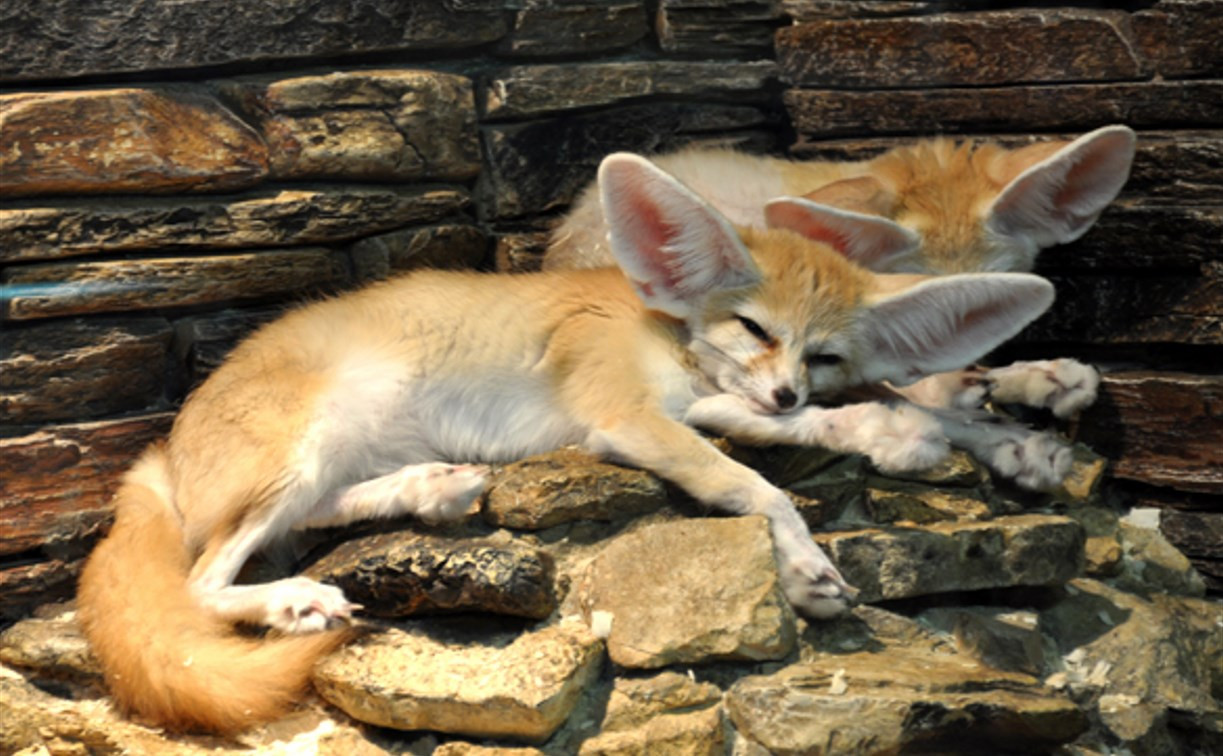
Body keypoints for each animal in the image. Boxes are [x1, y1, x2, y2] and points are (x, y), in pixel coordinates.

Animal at [78, 151, 1051, 729]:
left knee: (314, 517)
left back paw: (431, 487)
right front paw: (807, 564)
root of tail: (159, 455)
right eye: (751, 327)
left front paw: (930, 430)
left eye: (824, 354)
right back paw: (291, 601)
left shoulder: (690, 411)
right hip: (297, 453)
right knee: (200, 583)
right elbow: (755, 485)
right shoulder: (626, 417)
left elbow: (805, 427)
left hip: (326, 466)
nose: (784, 386)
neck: (663, 333)